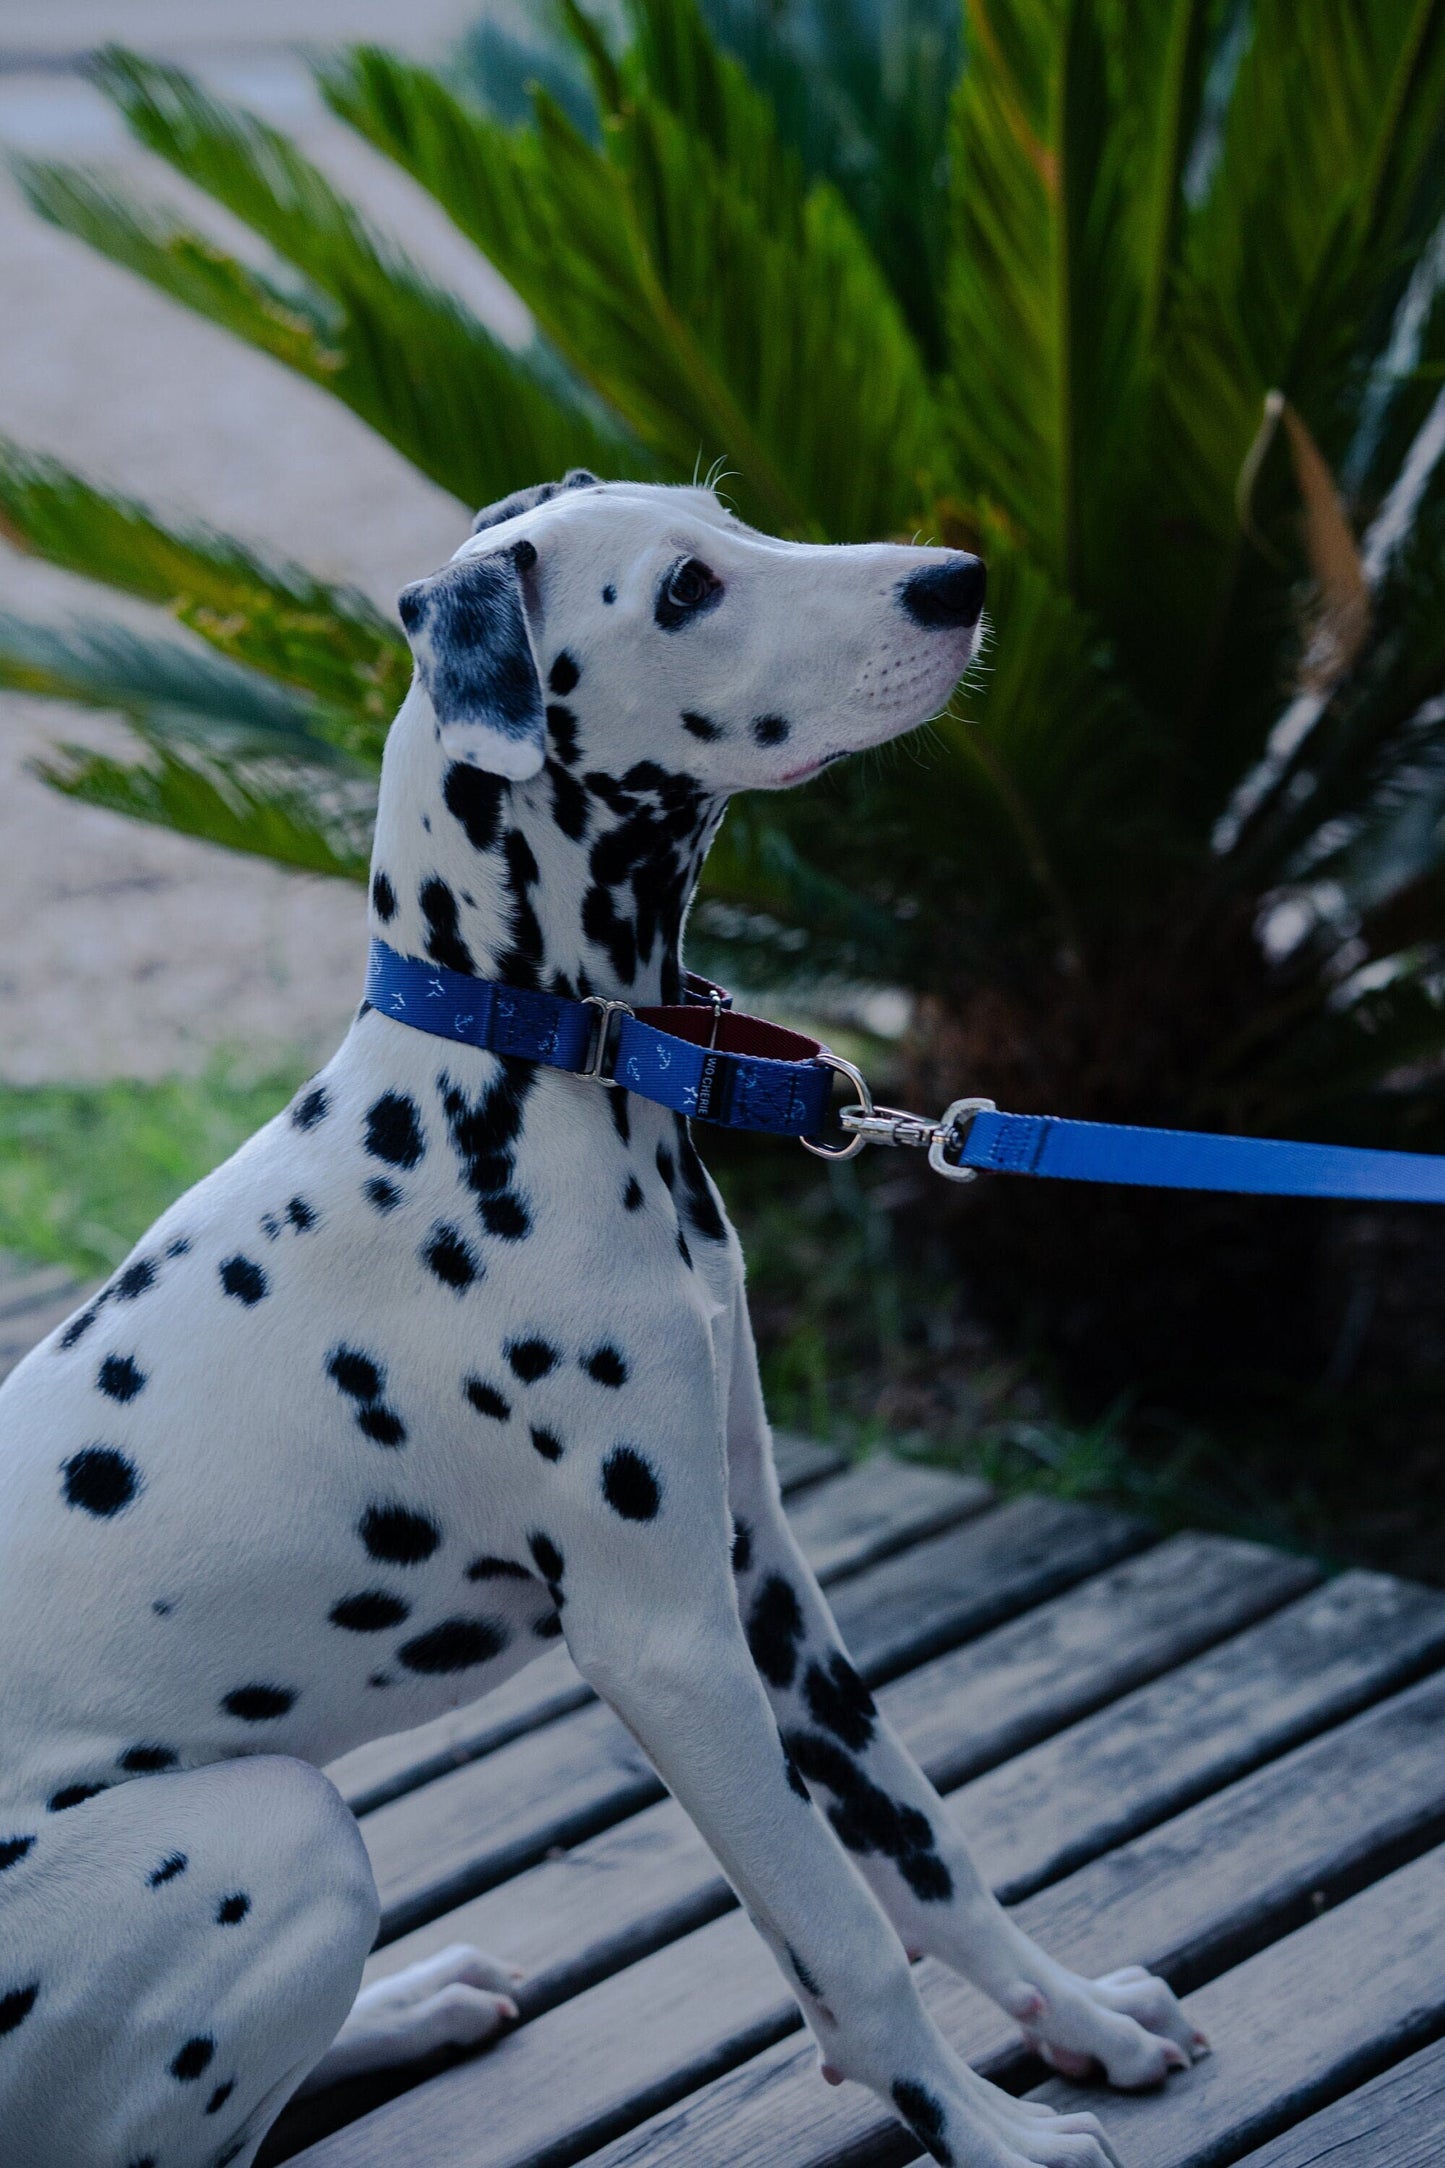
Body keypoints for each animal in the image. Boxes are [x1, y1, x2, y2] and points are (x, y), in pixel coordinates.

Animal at [0, 479, 1204, 2168]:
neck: (537, 1077)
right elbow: (839, 1934)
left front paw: (1076, 2019)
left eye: (726, 516)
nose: (957, 580)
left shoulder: (763, 1582)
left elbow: (921, 1848)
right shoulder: (670, 1647)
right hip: (281, 1837)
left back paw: (410, 2005)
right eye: (687, 588)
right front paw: (984, 2134)